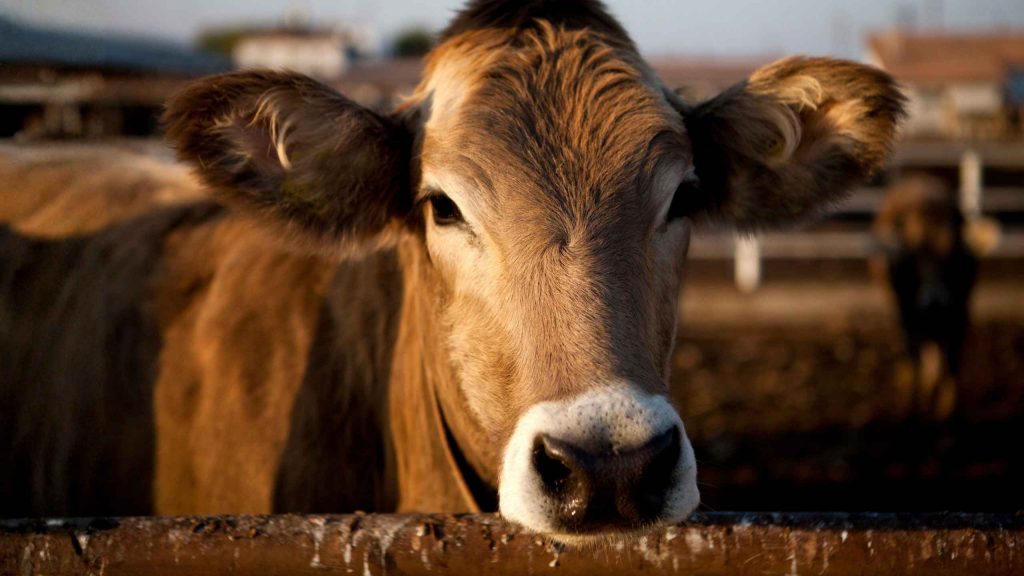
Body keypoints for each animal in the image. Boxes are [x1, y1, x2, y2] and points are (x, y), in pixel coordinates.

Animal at [872, 174, 998, 418]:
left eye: (953, 252)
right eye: (913, 255)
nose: (935, 300)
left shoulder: (960, 316)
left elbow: (950, 364)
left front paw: (946, 408)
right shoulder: (906, 318)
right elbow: (914, 360)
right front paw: (915, 404)